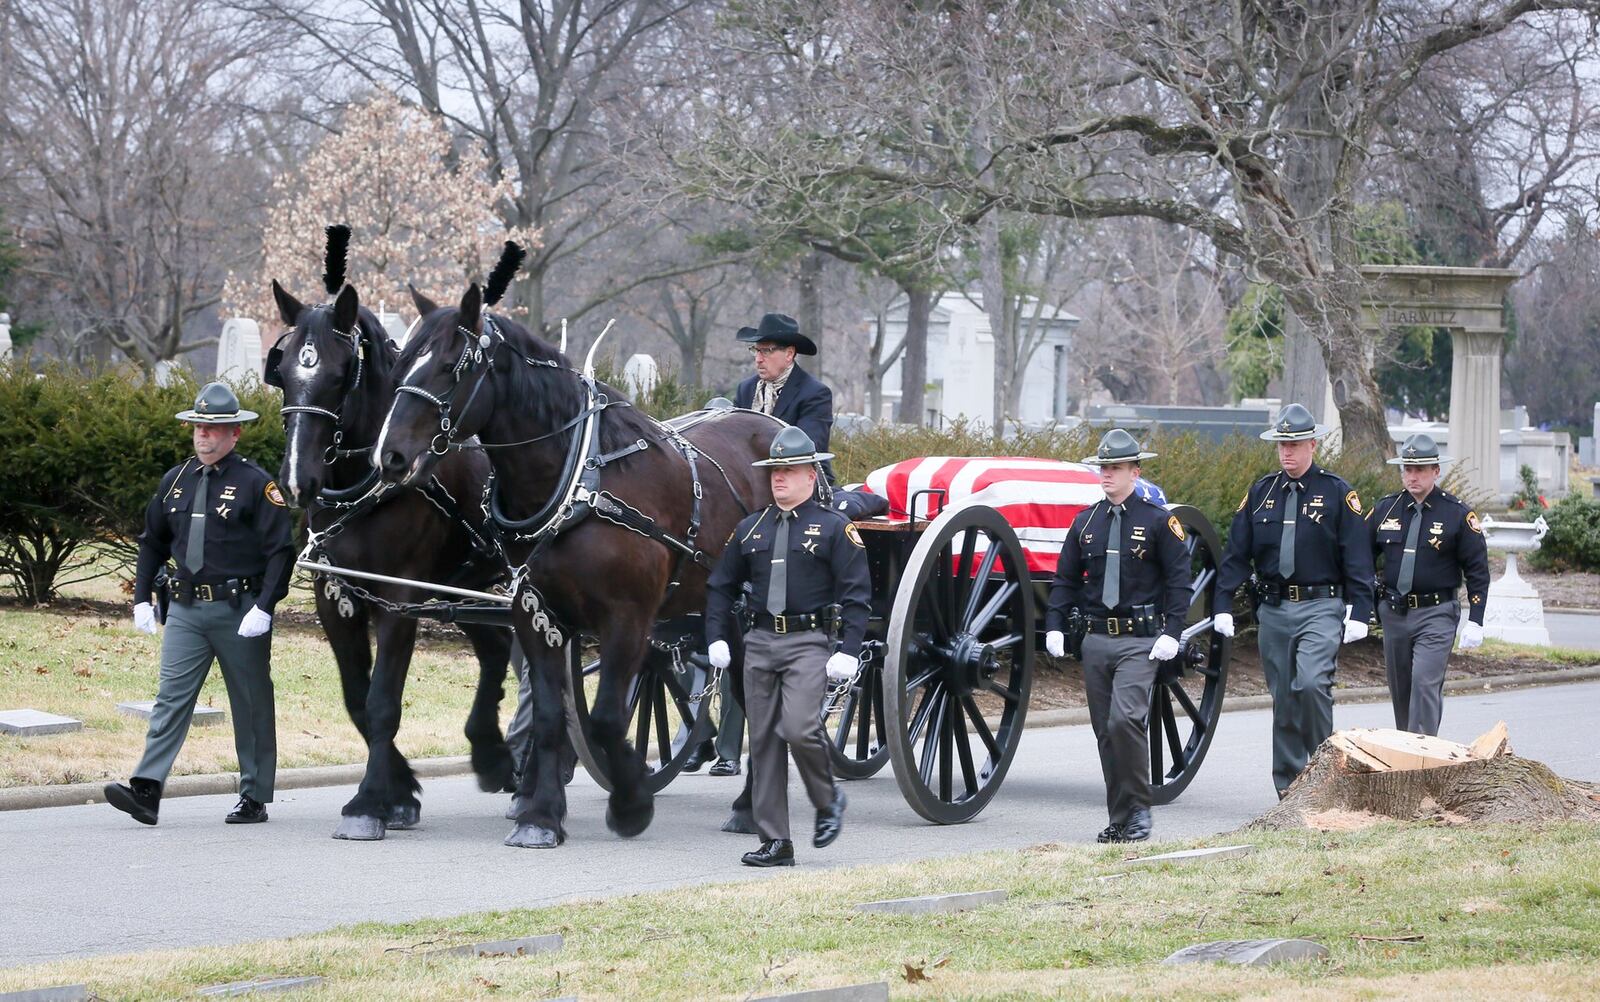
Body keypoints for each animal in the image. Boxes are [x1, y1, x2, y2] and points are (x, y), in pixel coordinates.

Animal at [267, 240, 518, 832]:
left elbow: (383, 700)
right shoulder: (335, 595)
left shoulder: (399, 598)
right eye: (282, 372)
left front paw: (370, 802)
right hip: (464, 590)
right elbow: (357, 697)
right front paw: (399, 790)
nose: (297, 480)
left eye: (341, 374)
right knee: (497, 649)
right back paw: (492, 754)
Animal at [369, 281, 780, 845]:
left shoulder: (627, 618)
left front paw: (631, 802)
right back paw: (745, 806)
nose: (389, 456)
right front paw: (540, 816)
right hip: (726, 617)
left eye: (453, 367)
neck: (579, 481)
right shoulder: (535, 613)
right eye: (402, 362)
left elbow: (606, 718)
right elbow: (548, 715)